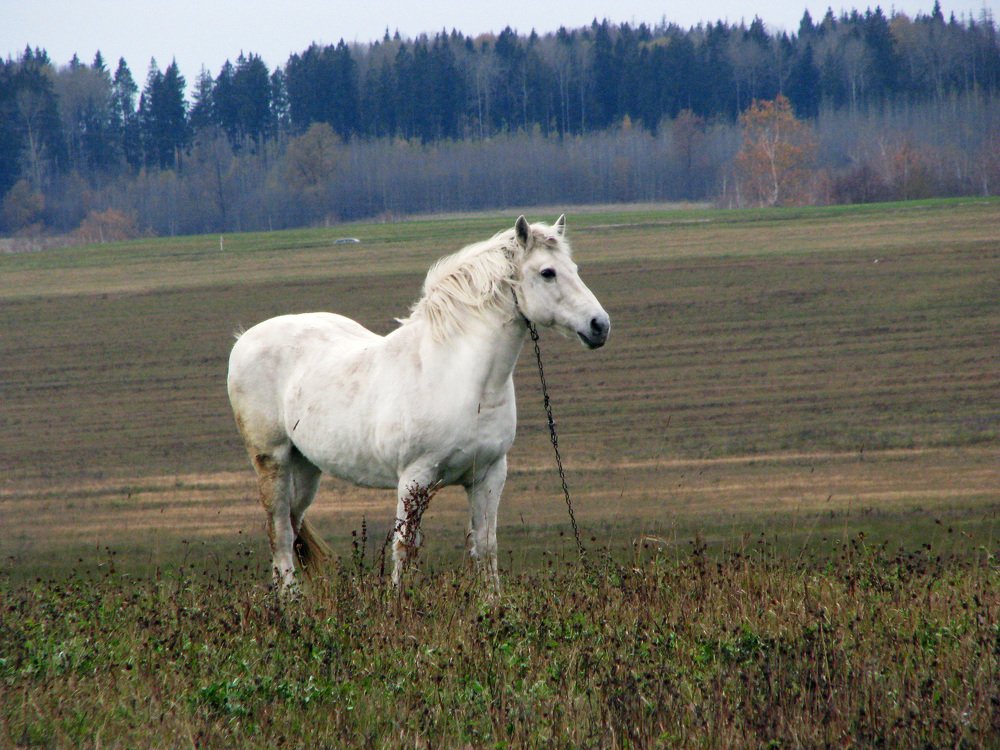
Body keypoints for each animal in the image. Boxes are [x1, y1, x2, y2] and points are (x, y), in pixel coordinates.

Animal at [227, 215, 610, 592]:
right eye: (547, 272)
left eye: (574, 268)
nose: (600, 326)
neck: (459, 377)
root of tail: (244, 339)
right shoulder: (415, 480)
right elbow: (405, 549)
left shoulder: (489, 475)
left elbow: (486, 547)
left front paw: (494, 603)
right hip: (272, 460)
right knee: (279, 533)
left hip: (306, 467)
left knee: (293, 527)